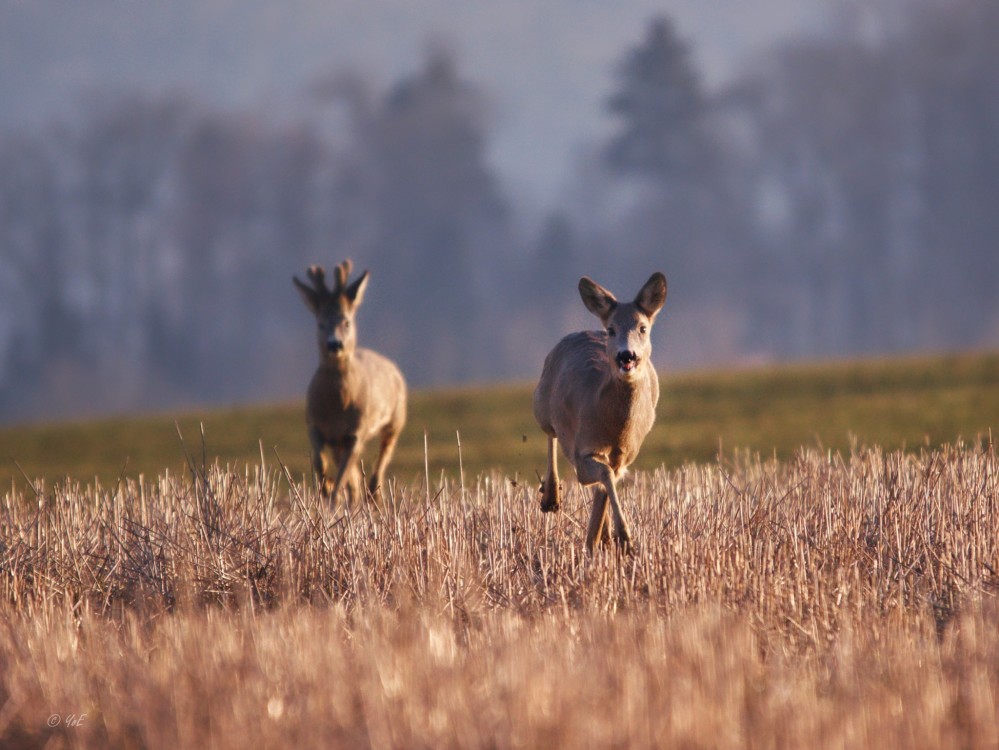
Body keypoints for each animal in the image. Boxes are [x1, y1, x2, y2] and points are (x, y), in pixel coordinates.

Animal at [294, 262, 408, 508]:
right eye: (320, 323)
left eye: (346, 321)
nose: (334, 344)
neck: (336, 407)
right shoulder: (314, 424)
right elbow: (320, 463)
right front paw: (326, 489)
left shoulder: (357, 431)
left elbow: (344, 475)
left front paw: (333, 498)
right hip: (341, 441)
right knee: (353, 475)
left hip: (395, 419)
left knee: (382, 458)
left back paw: (372, 495)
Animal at [536, 274, 668, 556]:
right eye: (611, 329)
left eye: (642, 328)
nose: (626, 355)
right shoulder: (582, 450)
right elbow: (604, 476)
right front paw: (625, 538)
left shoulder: (625, 456)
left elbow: (608, 482)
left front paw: (607, 537)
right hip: (540, 401)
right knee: (550, 432)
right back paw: (551, 498)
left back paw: (598, 537)